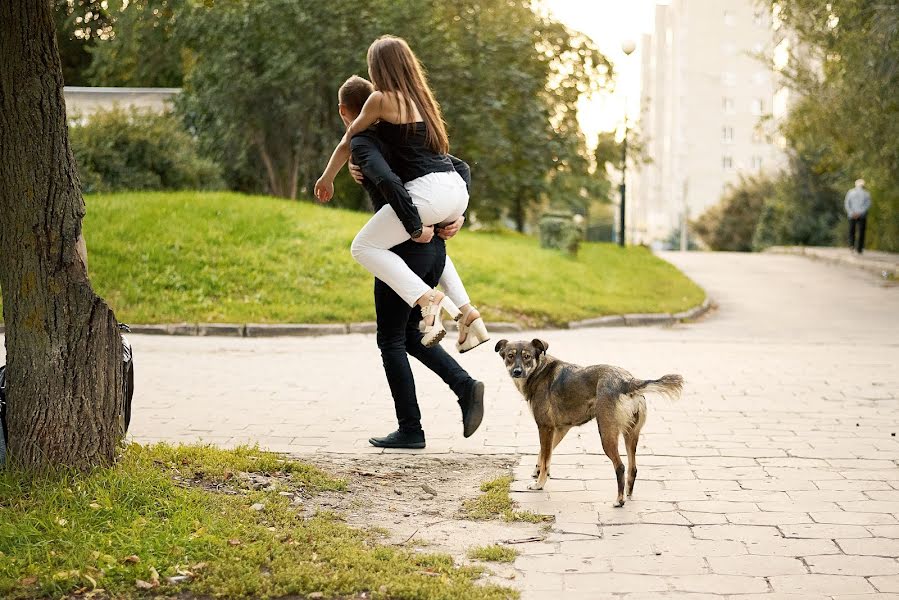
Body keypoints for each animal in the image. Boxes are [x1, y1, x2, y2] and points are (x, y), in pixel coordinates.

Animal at [500, 338, 684, 506]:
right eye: (510, 356)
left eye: (527, 356)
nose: (517, 372)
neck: (539, 370)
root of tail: (627, 381)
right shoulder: (560, 429)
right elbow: (545, 454)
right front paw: (537, 471)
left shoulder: (545, 427)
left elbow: (545, 458)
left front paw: (539, 483)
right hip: (631, 435)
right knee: (633, 468)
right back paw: (627, 494)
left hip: (607, 434)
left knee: (620, 466)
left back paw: (619, 500)